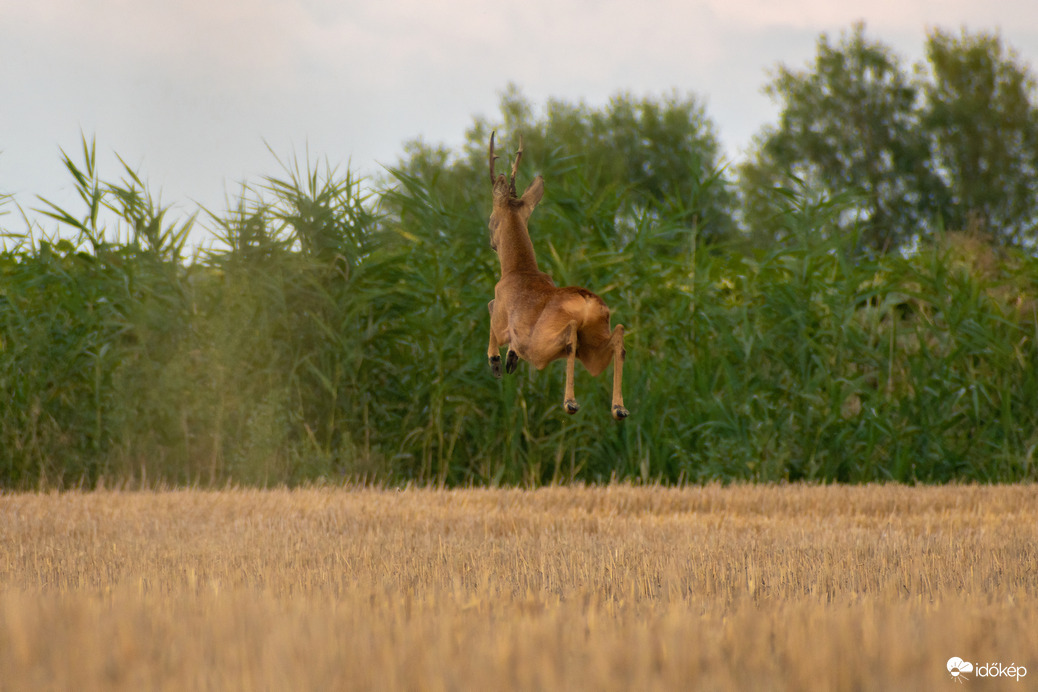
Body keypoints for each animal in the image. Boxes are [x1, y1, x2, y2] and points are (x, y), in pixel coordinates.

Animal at [485, 132, 629, 421]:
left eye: (491, 219)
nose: (490, 241)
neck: (519, 269)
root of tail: (586, 301)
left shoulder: (502, 316)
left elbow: (490, 307)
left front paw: (498, 361)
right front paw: (509, 359)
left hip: (540, 347)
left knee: (569, 337)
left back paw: (570, 403)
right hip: (593, 347)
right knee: (617, 337)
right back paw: (618, 408)